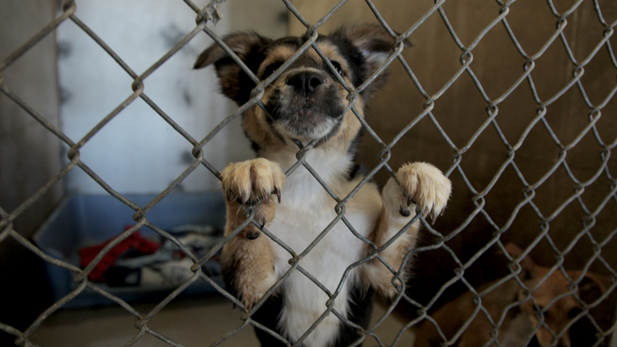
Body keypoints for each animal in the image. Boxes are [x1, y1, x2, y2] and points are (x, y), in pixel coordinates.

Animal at [196, 25, 452, 347]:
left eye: (337, 68)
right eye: (272, 69)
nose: (305, 79)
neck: (311, 176)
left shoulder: (377, 271)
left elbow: (395, 230)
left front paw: (418, 177)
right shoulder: (255, 287)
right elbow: (245, 243)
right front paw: (249, 179)